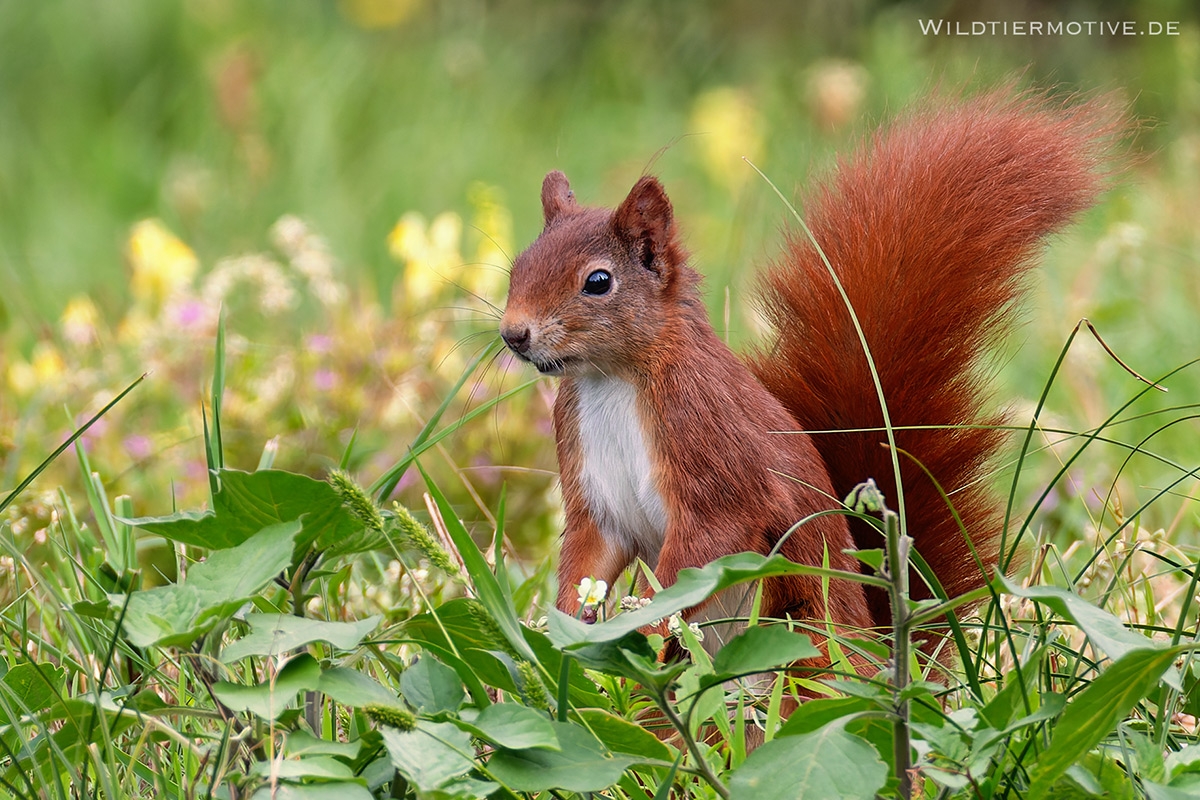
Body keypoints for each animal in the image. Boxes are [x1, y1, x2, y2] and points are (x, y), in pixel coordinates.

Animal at [499, 89, 1120, 646]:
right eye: (517, 267)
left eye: (598, 281)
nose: (513, 334)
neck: (613, 379)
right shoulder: (593, 490)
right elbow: (588, 557)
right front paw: (559, 631)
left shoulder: (711, 444)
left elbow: (711, 538)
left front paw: (644, 625)